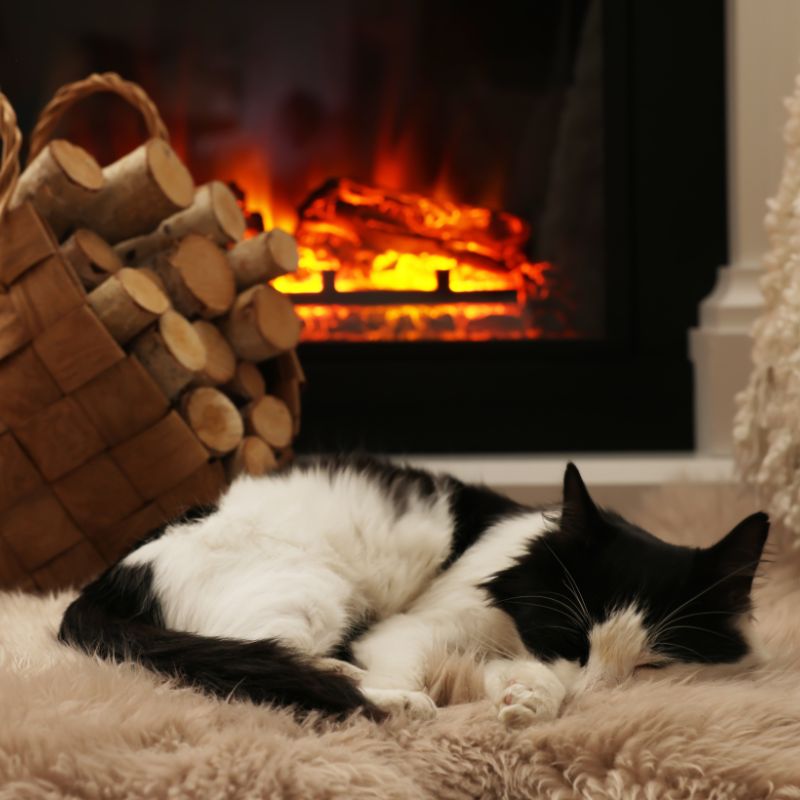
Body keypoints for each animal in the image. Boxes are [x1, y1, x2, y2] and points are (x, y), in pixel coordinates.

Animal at [59, 456, 772, 724]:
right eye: (569, 638)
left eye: (652, 666)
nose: (595, 698)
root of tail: (100, 587)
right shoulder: (407, 629)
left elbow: (517, 679)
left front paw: (525, 700)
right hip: (314, 592)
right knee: (289, 659)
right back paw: (398, 702)